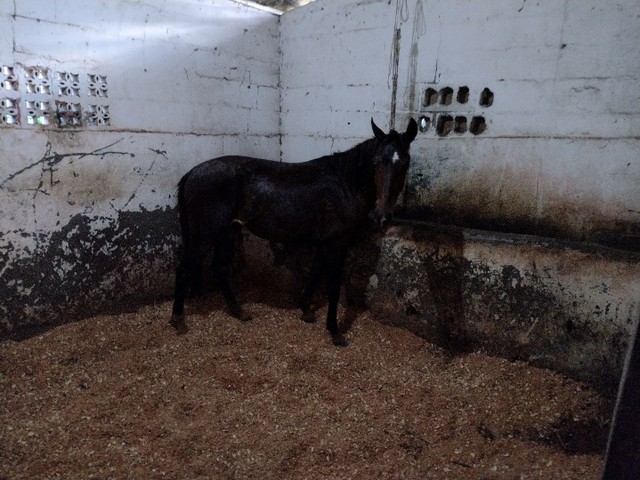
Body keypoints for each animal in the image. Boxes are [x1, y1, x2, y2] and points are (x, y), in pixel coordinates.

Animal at [171, 118, 420, 346]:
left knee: (220, 268)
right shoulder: (338, 243)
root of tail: (192, 173)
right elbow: (333, 286)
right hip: (206, 234)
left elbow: (315, 273)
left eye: (405, 163)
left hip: (228, 231)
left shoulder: (325, 242)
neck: (345, 185)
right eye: (377, 162)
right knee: (184, 269)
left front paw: (306, 310)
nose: (381, 216)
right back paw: (178, 320)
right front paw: (334, 331)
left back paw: (238, 311)